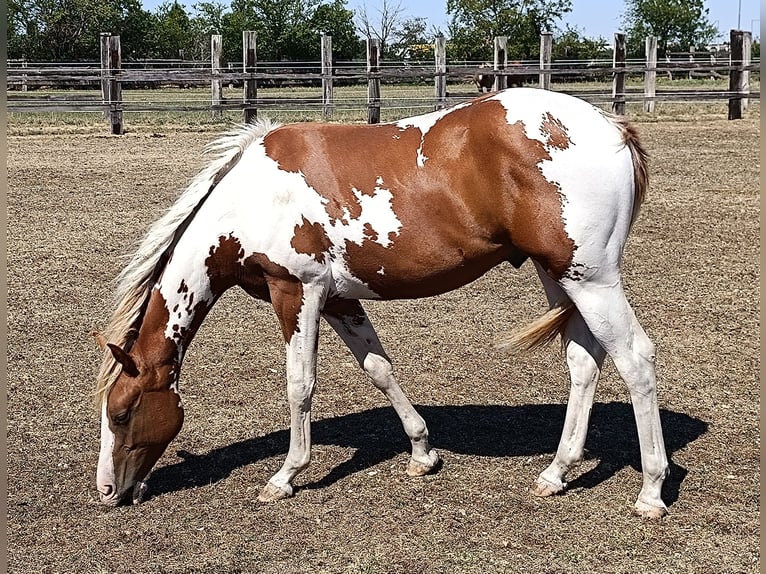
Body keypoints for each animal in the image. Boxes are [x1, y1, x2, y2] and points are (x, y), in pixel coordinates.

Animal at [93, 87, 670, 518]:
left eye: (121, 413)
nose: (108, 491)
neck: (250, 199)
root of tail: (612, 126)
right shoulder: (339, 301)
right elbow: (379, 368)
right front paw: (421, 453)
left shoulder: (296, 292)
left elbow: (300, 385)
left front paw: (285, 476)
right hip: (561, 276)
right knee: (584, 361)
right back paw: (556, 471)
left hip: (592, 279)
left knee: (635, 360)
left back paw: (650, 491)